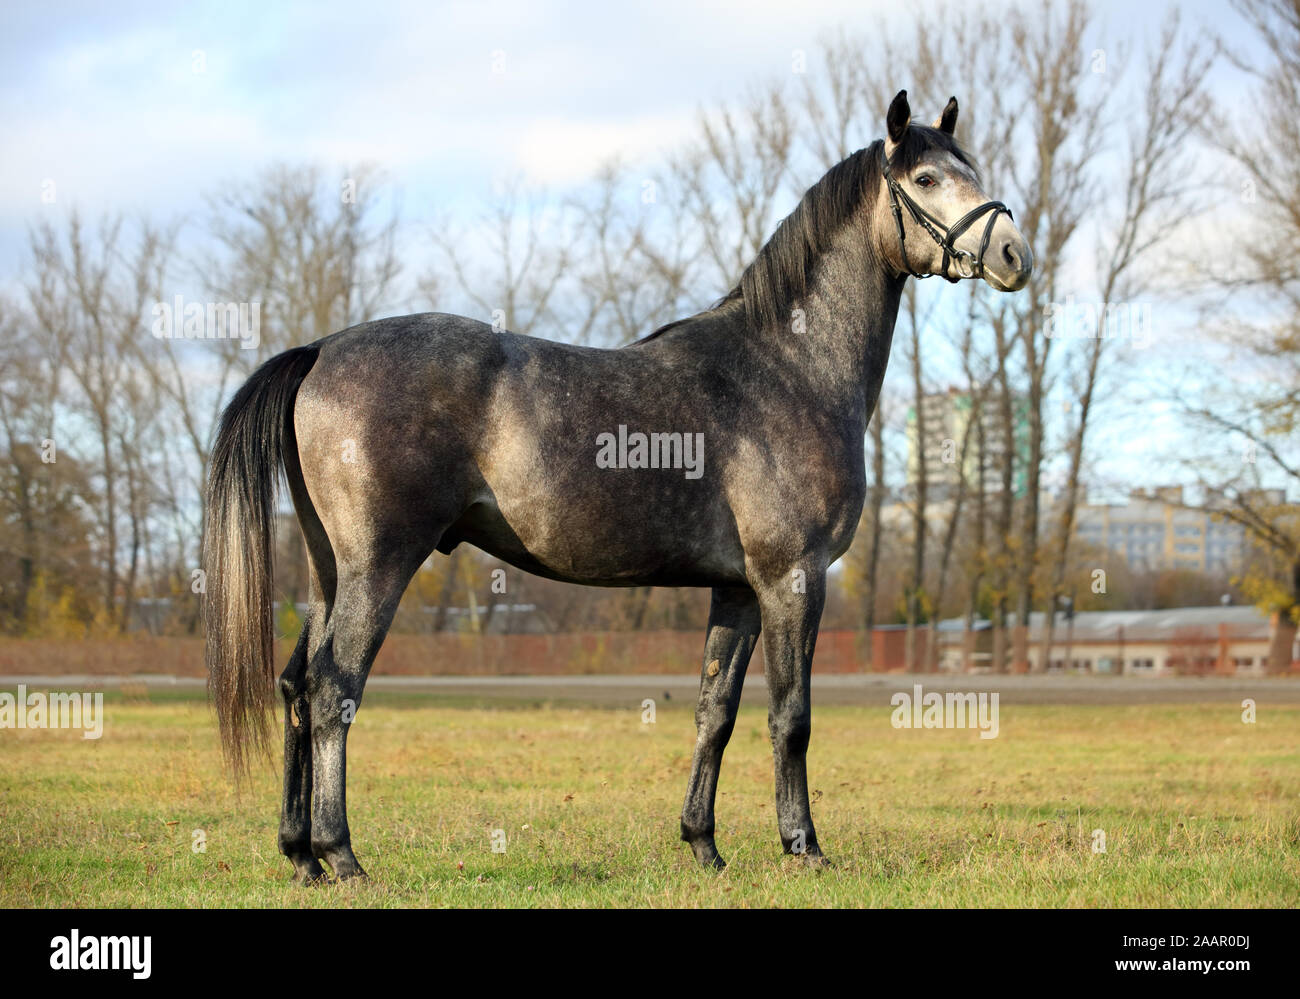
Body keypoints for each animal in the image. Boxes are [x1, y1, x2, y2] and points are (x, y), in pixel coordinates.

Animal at [203, 90, 1032, 883]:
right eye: (926, 179)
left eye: (968, 167)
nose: (1014, 253)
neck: (787, 367)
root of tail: (319, 350)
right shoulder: (793, 578)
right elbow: (790, 716)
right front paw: (804, 846)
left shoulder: (738, 590)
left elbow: (716, 712)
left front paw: (704, 845)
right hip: (378, 566)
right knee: (330, 688)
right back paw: (342, 853)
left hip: (329, 571)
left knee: (294, 686)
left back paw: (302, 855)